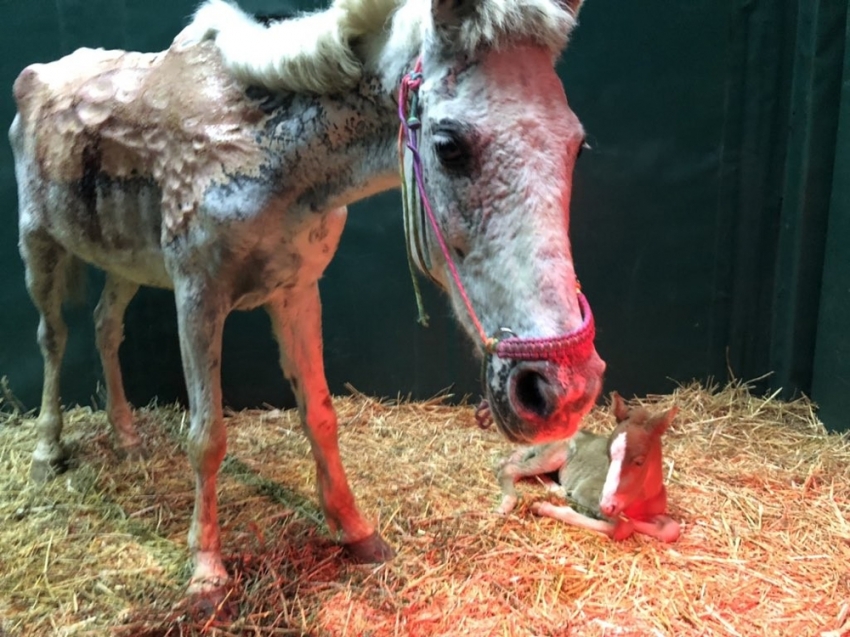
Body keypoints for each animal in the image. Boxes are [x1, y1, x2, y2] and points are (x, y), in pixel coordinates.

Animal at [8, 0, 604, 596]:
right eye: (448, 146)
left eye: (577, 145)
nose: (562, 392)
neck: (264, 150)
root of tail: (36, 75)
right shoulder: (197, 297)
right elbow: (207, 436)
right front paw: (206, 569)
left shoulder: (297, 291)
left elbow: (319, 414)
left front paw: (355, 529)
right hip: (38, 242)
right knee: (52, 337)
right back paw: (46, 451)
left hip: (124, 259)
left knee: (106, 327)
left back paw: (127, 437)